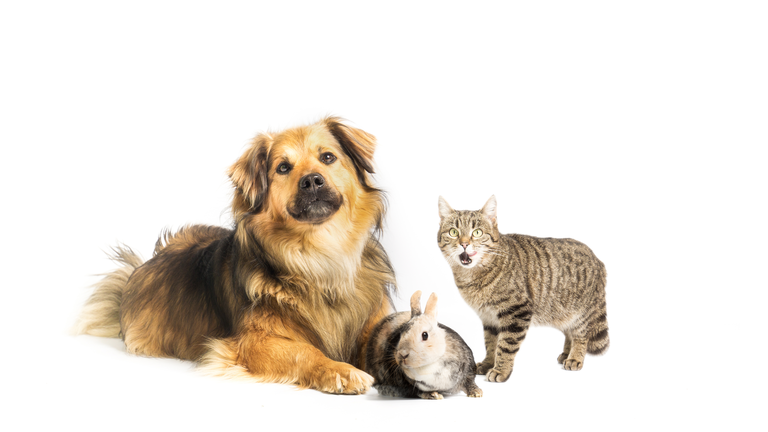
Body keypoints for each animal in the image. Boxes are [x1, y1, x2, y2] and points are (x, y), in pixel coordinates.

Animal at [76, 116, 400, 394]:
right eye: (283, 168)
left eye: (328, 158)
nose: (312, 181)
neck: (319, 256)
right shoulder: (251, 343)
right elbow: (304, 351)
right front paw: (339, 370)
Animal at [440, 196, 608, 382]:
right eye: (453, 232)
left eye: (477, 232)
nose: (464, 244)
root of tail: (598, 259)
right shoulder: (489, 318)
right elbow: (491, 344)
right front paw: (488, 363)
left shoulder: (516, 312)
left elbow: (505, 346)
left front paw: (501, 370)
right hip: (564, 313)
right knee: (569, 333)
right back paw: (566, 353)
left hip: (581, 314)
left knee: (581, 336)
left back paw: (575, 357)